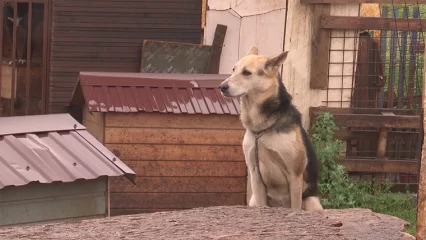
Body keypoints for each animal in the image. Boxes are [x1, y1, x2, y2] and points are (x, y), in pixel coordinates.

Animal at [220, 46, 322, 211]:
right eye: (233, 70)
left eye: (246, 73)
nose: (221, 87)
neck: (262, 129)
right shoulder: (255, 173)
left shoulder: (295, 174)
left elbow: (295, 206)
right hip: (253, 200)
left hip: (312, 202)